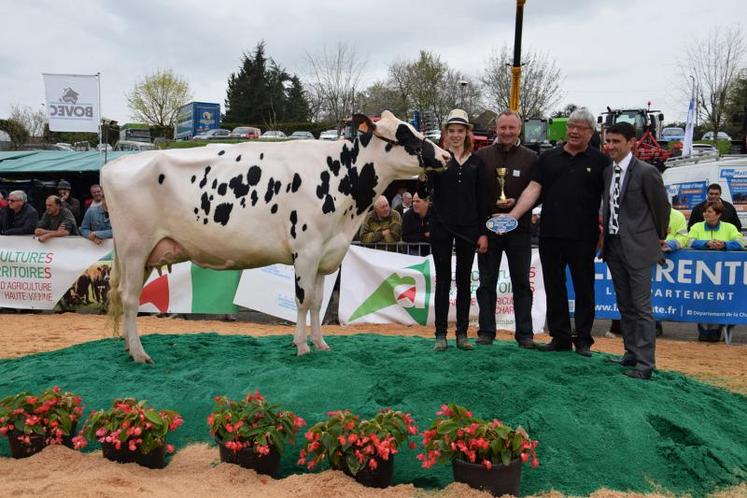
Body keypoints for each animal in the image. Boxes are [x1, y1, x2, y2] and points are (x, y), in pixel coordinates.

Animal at [99, 112, 450, 362]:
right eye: (404, 134)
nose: (446, 156)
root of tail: (115, 164)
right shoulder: (306, 250)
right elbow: (303, 300)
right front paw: (301, 346)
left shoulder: (326, 254)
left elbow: (318, 301)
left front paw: (321, 344)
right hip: (134, 249)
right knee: (130, 298)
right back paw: (140, 354)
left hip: (145, 255)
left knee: (127, 297)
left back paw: (130, 348)